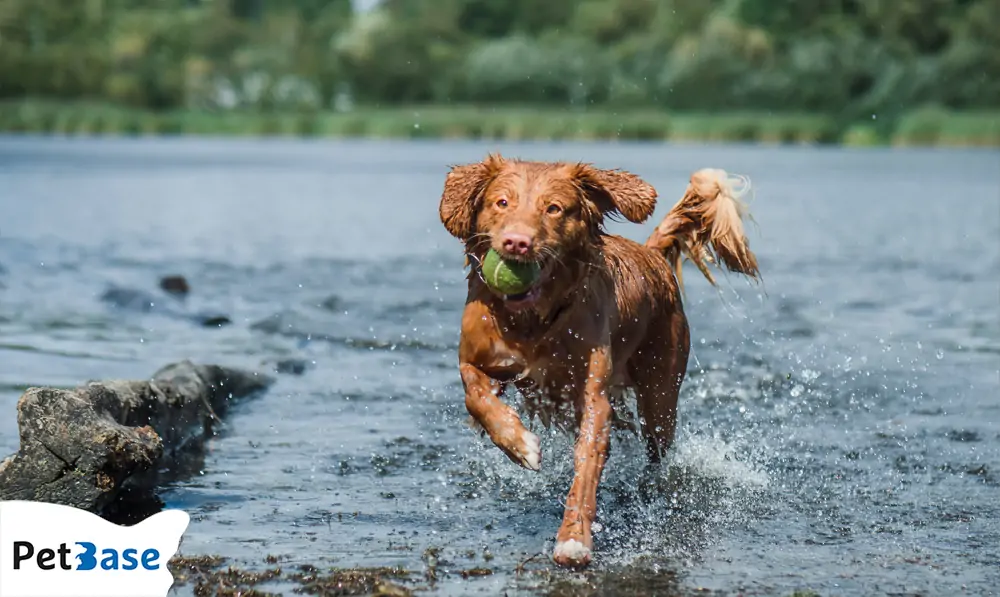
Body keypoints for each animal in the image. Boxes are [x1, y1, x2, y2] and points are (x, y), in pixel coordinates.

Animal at [436, 155, 756, 568]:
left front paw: (574, 539)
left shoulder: (595, 398)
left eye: (554, 209)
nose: (517, 243)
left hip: (661, 394)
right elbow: (475, 396)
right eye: (501, 203)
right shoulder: (474, 359)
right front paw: (520, 444)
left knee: (658, 448)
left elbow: (586, 467)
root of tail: (652, 254)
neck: (534, 322)